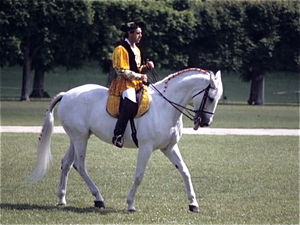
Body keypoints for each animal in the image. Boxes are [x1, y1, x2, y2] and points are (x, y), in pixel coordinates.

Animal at [29, 68, 223, 213]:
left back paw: (62, 199)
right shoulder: (146, 147)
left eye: (217, 99)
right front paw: (130, 204)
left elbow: (184, 171)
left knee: (67, 163)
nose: (206, 123)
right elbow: (139, 176)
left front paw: (193, 204)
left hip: (77, 137)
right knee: (80, 165)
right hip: (80, 138)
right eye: (211, 98)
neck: (165, 106)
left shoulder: (169, 147)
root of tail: (67, 94)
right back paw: (98, 198)